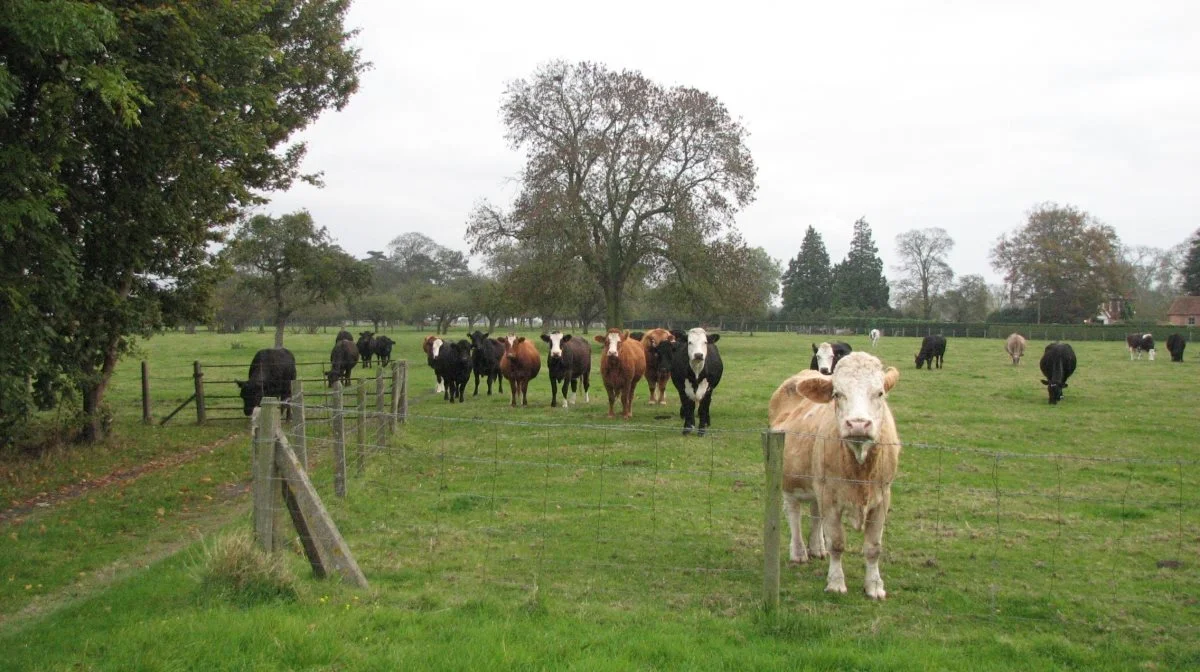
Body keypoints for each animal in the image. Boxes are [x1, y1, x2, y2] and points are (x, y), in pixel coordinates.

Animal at [768, 352, 902, 597]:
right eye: (837, 394)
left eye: (879, 393)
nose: (858, 424)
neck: (860, 468)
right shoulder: (830, 497)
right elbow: (837, 543)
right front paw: (836, 582)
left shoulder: (883, 498)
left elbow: (873, 547)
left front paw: (875, 586)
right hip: (790, 480)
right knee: (793, 514)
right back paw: (799, 552)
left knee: (814, 513)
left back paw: (816, 548)